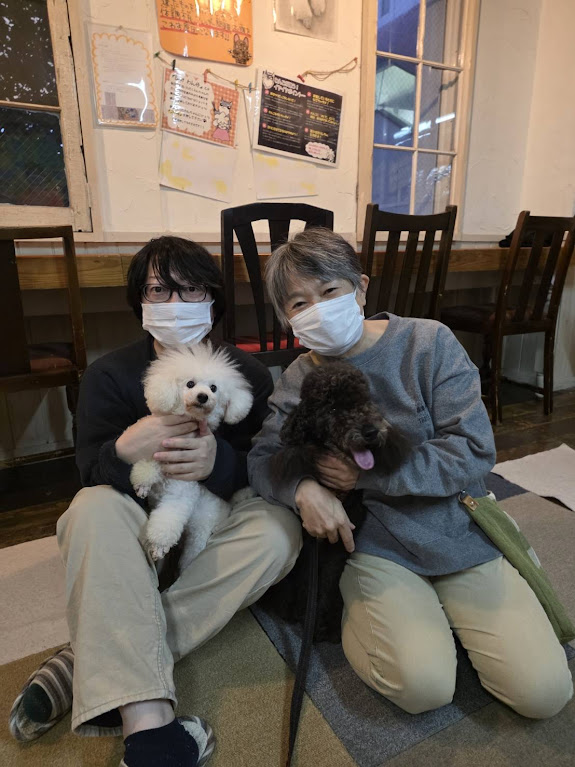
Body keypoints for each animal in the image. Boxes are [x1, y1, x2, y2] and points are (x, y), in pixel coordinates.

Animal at [130, 343, 253, 573]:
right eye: (190, 384)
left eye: (213, 388)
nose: (203, 396)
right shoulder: (160, 448)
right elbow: (148, 464)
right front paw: (142, 484)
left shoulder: (180, 494)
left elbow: (167, 519)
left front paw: (159, 544)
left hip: (199, 537)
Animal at [260, 362, 402, 642]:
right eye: (333, 408)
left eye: (363, 401)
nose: (371, 431)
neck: (336, 492)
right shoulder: (309, 545)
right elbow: (306, 579)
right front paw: (304, 614)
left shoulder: (340, 545)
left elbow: (328, 581)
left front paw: (325, 622)